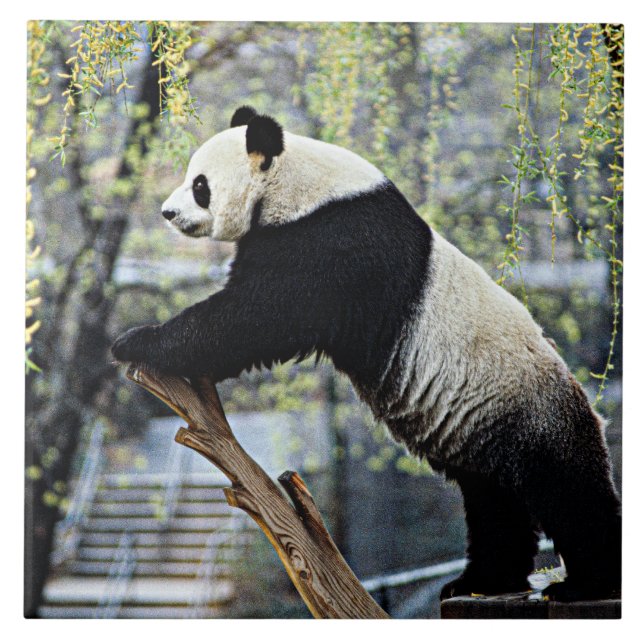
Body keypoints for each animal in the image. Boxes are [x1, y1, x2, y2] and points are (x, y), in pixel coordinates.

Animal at [112, 106, 621, 602]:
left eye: (200, 185)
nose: (167, 212)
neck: (296, 183)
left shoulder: (332, 241)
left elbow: (257, 316)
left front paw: (137, 341)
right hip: (483, 428)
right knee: (494, 502)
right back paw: (481, 581)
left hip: (529, 412)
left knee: (566, 490)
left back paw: (587, 582)